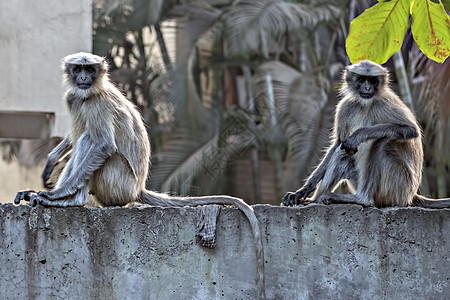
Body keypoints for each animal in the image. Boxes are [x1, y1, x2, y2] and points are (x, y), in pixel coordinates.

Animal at [14, 52, 268, 298]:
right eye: (78, 69)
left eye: (90, 69)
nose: (84, 78)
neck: (96, 88)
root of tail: (138, 188)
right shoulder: (77, 95)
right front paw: (52, 160)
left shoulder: (97, 102)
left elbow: (103, 145)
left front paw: (58, 194)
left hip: (117, 182)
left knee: (90, 138)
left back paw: (73, 199)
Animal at [284, 59, 450, 207]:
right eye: (362, 79)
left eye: (373, 81)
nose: (367, 88)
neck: (365, 105)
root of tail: (412, 195)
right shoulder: (346, 106)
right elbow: (338, 144)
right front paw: (302, 191)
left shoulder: (384, 102)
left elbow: (411, 130)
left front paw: (359, 135)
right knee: (342, 153)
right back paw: (316, 200)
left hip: (399, 188)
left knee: (382, 142)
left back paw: (362, 199)